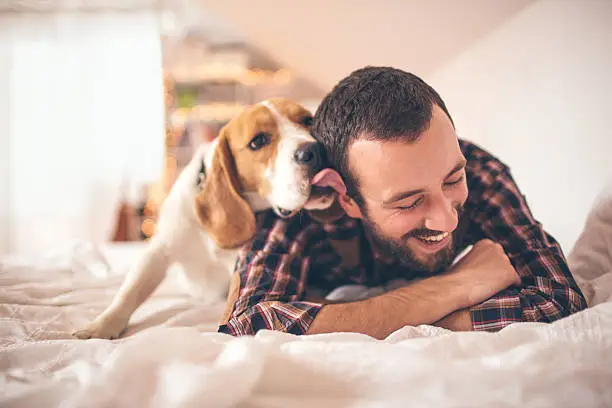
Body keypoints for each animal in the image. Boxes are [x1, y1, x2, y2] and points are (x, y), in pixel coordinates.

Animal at [74, 99, 338, 342]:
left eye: (308, 120)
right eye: (258, 141)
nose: (316, 150)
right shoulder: (160, 250)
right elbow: (131, 290)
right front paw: (101, 325)